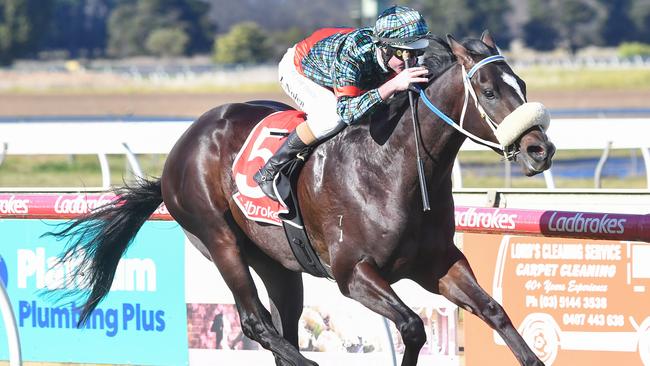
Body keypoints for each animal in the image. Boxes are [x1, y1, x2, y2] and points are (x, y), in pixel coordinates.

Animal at [49, 32, 552, 366]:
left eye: (524, 85)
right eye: (488, 90)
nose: (540, 150)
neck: (395, 167)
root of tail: (182, 146)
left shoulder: (438, 263)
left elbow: (493, 311)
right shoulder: (354, 274)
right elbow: (411, 326)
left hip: (279, 263)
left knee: (282, 321)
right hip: (217, 238)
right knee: (256, 322)